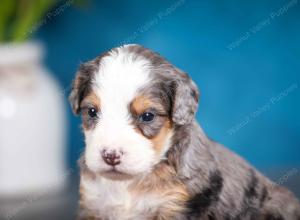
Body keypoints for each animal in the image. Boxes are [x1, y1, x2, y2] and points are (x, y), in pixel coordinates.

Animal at [69, 43, 298, 219]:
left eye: (148, 116)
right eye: (92, 111)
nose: (111, 156)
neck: (129, 184)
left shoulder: (178, 206)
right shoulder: (93, 204)